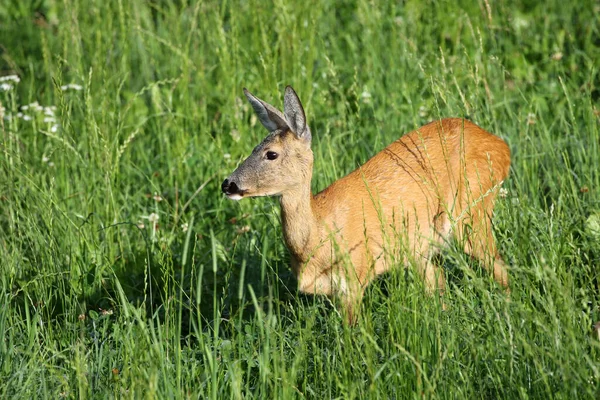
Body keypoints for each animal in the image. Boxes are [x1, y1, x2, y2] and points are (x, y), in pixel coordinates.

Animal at [220, 86, 510, 324]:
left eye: (271, 154)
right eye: (253, 148)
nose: (228, 184)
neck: (318, 236)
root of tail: (502, 146)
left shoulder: (355, 275)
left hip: (473, 209)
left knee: (498, 265)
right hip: (420, 245)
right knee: (438, 281)